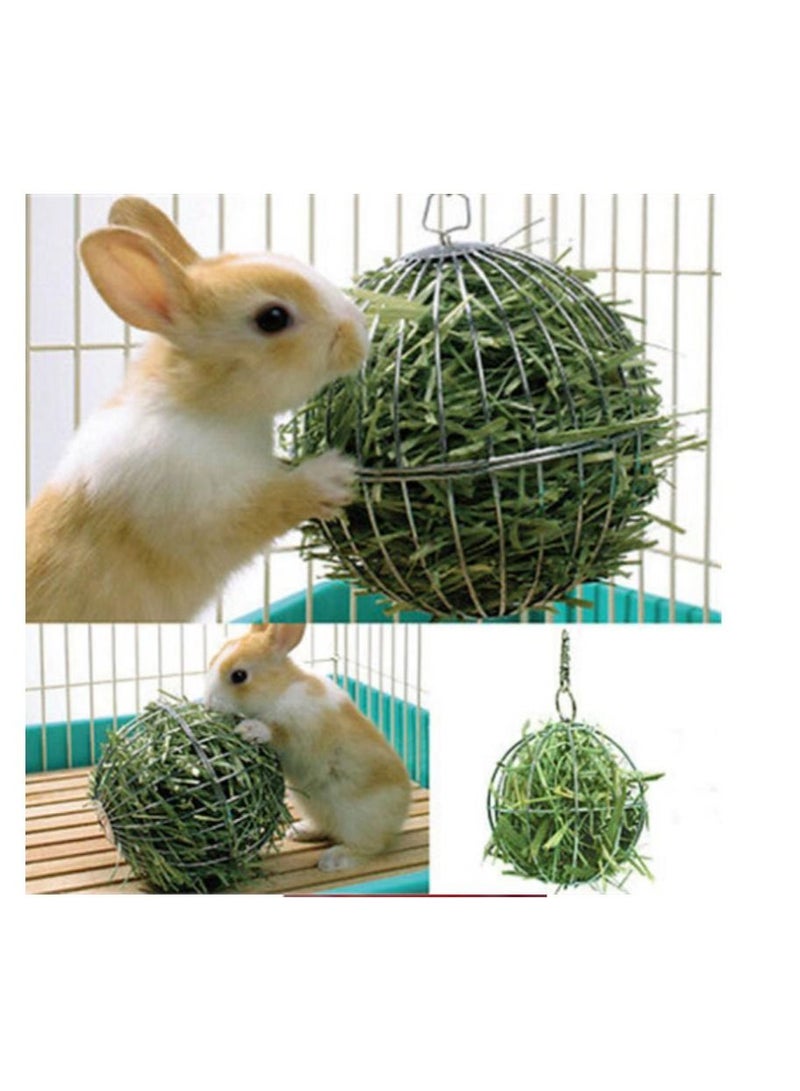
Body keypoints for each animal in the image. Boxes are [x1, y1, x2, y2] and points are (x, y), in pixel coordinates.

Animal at [26, 196, 368, 622]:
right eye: (272, 318)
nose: (360, 331)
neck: (202, 408)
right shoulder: (206, 511)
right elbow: (271, 504)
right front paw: (335, 475)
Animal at [204, 623, 412, 872]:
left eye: (239, 676)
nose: (208, 703)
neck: (280, 690)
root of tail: (400, 818)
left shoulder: (301, 731)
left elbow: (277, 733)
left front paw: (249, 729)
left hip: (358, 820)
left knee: (370, 848)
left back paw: (332, 860)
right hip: (312, 806)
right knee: (326, 828)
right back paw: (298, 832)